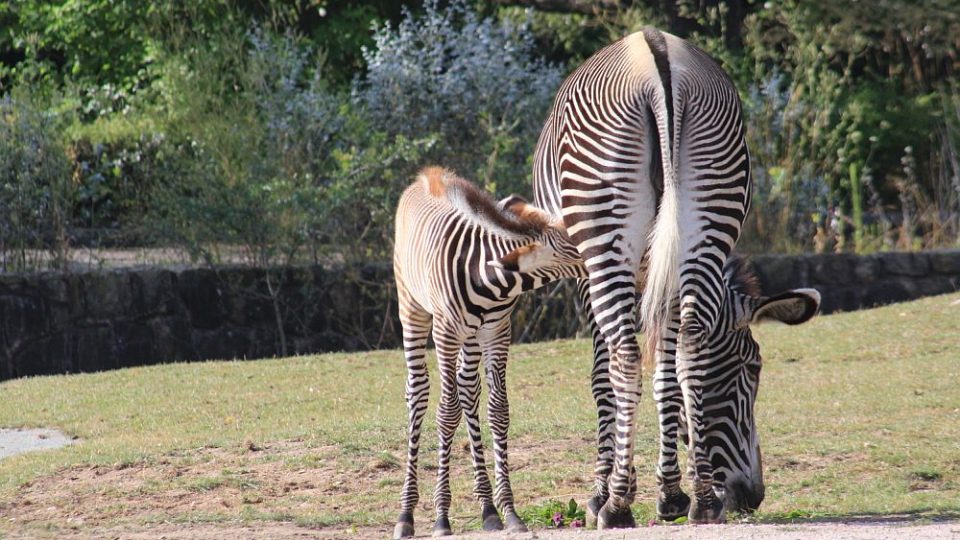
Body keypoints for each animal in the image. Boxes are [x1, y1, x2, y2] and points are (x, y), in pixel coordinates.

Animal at [390, 167, 584, 536]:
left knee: (469, 390)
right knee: (417, 394)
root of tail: (424, 176)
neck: (490, 281)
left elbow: (498, 410)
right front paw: (441, 517)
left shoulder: (498, 332)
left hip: (472, 337)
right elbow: (447, 412)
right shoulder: (445, 332)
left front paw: (508, 511)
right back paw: (406, 515)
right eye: (576, 250)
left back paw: (487, 510)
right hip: (413, 310)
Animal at [528, 26, 820, 528]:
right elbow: (665, 376)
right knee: (689, 349)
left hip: (604, 230)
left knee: (625, 356)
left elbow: (602, 375)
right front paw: (671, 494)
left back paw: (617, 506)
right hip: (707, 207)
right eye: (753, 367)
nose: (752, 496)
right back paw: (701, 500)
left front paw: (604, 490)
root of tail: (658, 67)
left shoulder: (584, 271)